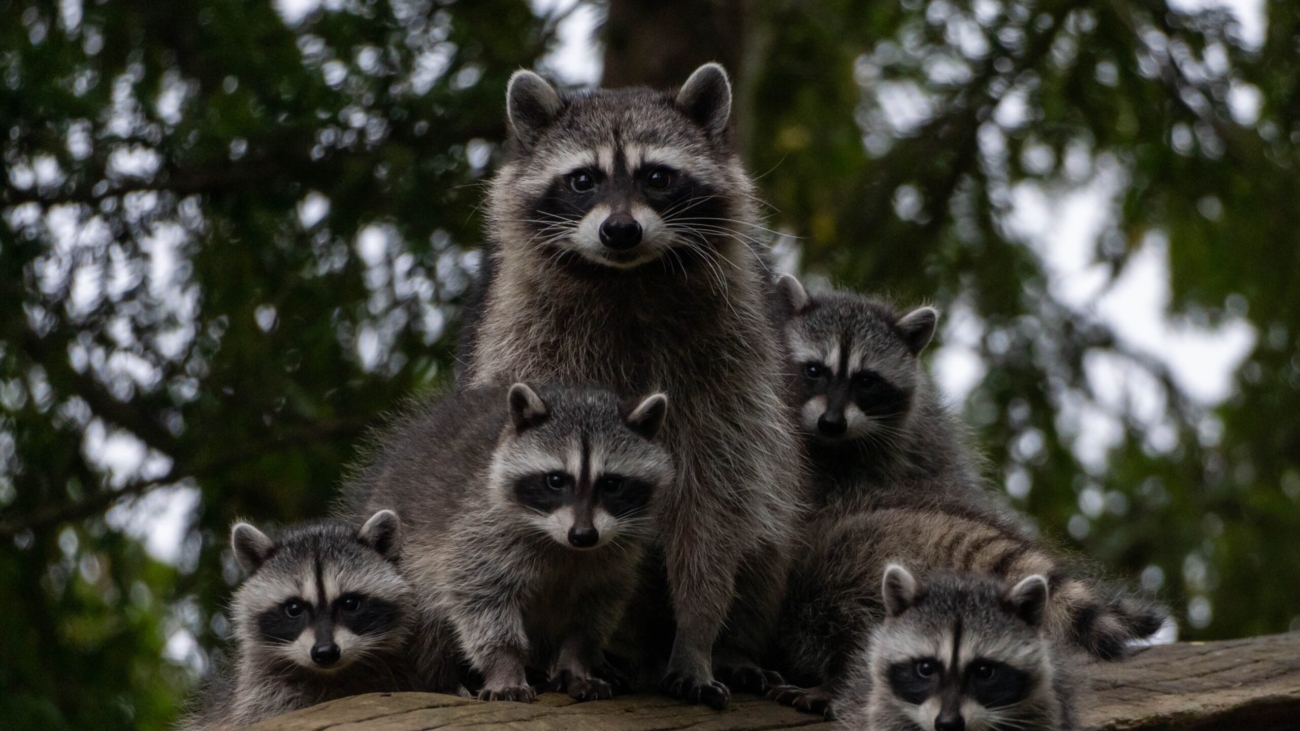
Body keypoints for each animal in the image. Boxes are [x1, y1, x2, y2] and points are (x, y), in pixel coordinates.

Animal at [345, 382, 670, 702]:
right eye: (556, 480)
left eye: (612, 484)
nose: (583, 535)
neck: (562, 545)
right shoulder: (479, 530)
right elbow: (481, 599)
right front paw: (505, 667)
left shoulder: (614, 557)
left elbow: (591, 615)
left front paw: (577, 663)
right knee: (428, 623)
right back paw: (443, 680)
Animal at [462, 64, 795, 707]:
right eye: (583, 180)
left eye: (657, 177)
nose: (621, 230)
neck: (627, 281)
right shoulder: (530, 343)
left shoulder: (727, 374)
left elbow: (715, 503)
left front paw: (697, 634)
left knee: (764, 533)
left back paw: (735, 648)